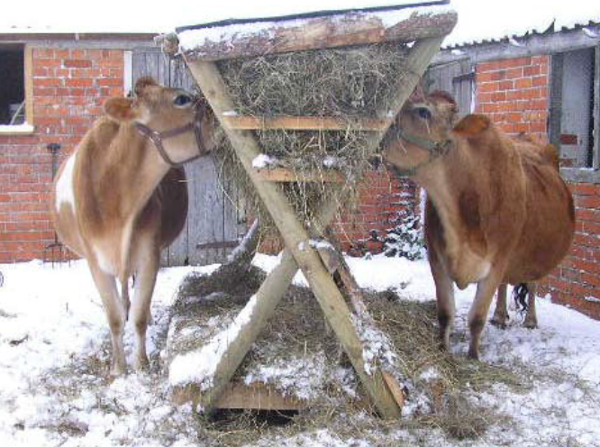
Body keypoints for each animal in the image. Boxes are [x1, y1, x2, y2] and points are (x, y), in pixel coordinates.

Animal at [51, 77, 216, 374]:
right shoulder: (95, 262)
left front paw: (141, 363)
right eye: (181, 99)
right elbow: (114, 316)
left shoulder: (150, 255)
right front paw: (118, 367)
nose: (216, 118)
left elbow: (138, 313)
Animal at [382, 90, 576, 360]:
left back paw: (530, 320)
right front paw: (443, 348)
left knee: (533, 282)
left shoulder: (496, 262)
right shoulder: (437, 259)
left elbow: (476, 318)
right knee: (506, 285)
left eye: (423, 112)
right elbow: (445, 312)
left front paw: (473, 357)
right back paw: (500, 316)